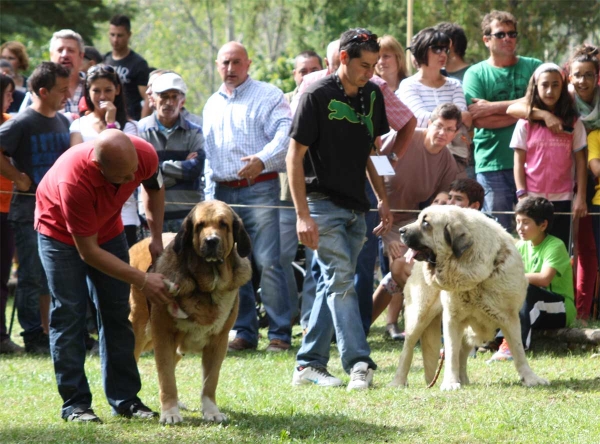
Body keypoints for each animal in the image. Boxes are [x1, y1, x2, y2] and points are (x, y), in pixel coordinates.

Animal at [130, 200, 252, 424]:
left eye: (223, 224)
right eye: (200, 225)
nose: (211, 241)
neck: (208, 286)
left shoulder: (219, 341)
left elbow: (210, 381)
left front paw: (211, 411)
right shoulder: (163, 336)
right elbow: (166, 378)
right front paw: (169, 413)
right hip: (138, 329)